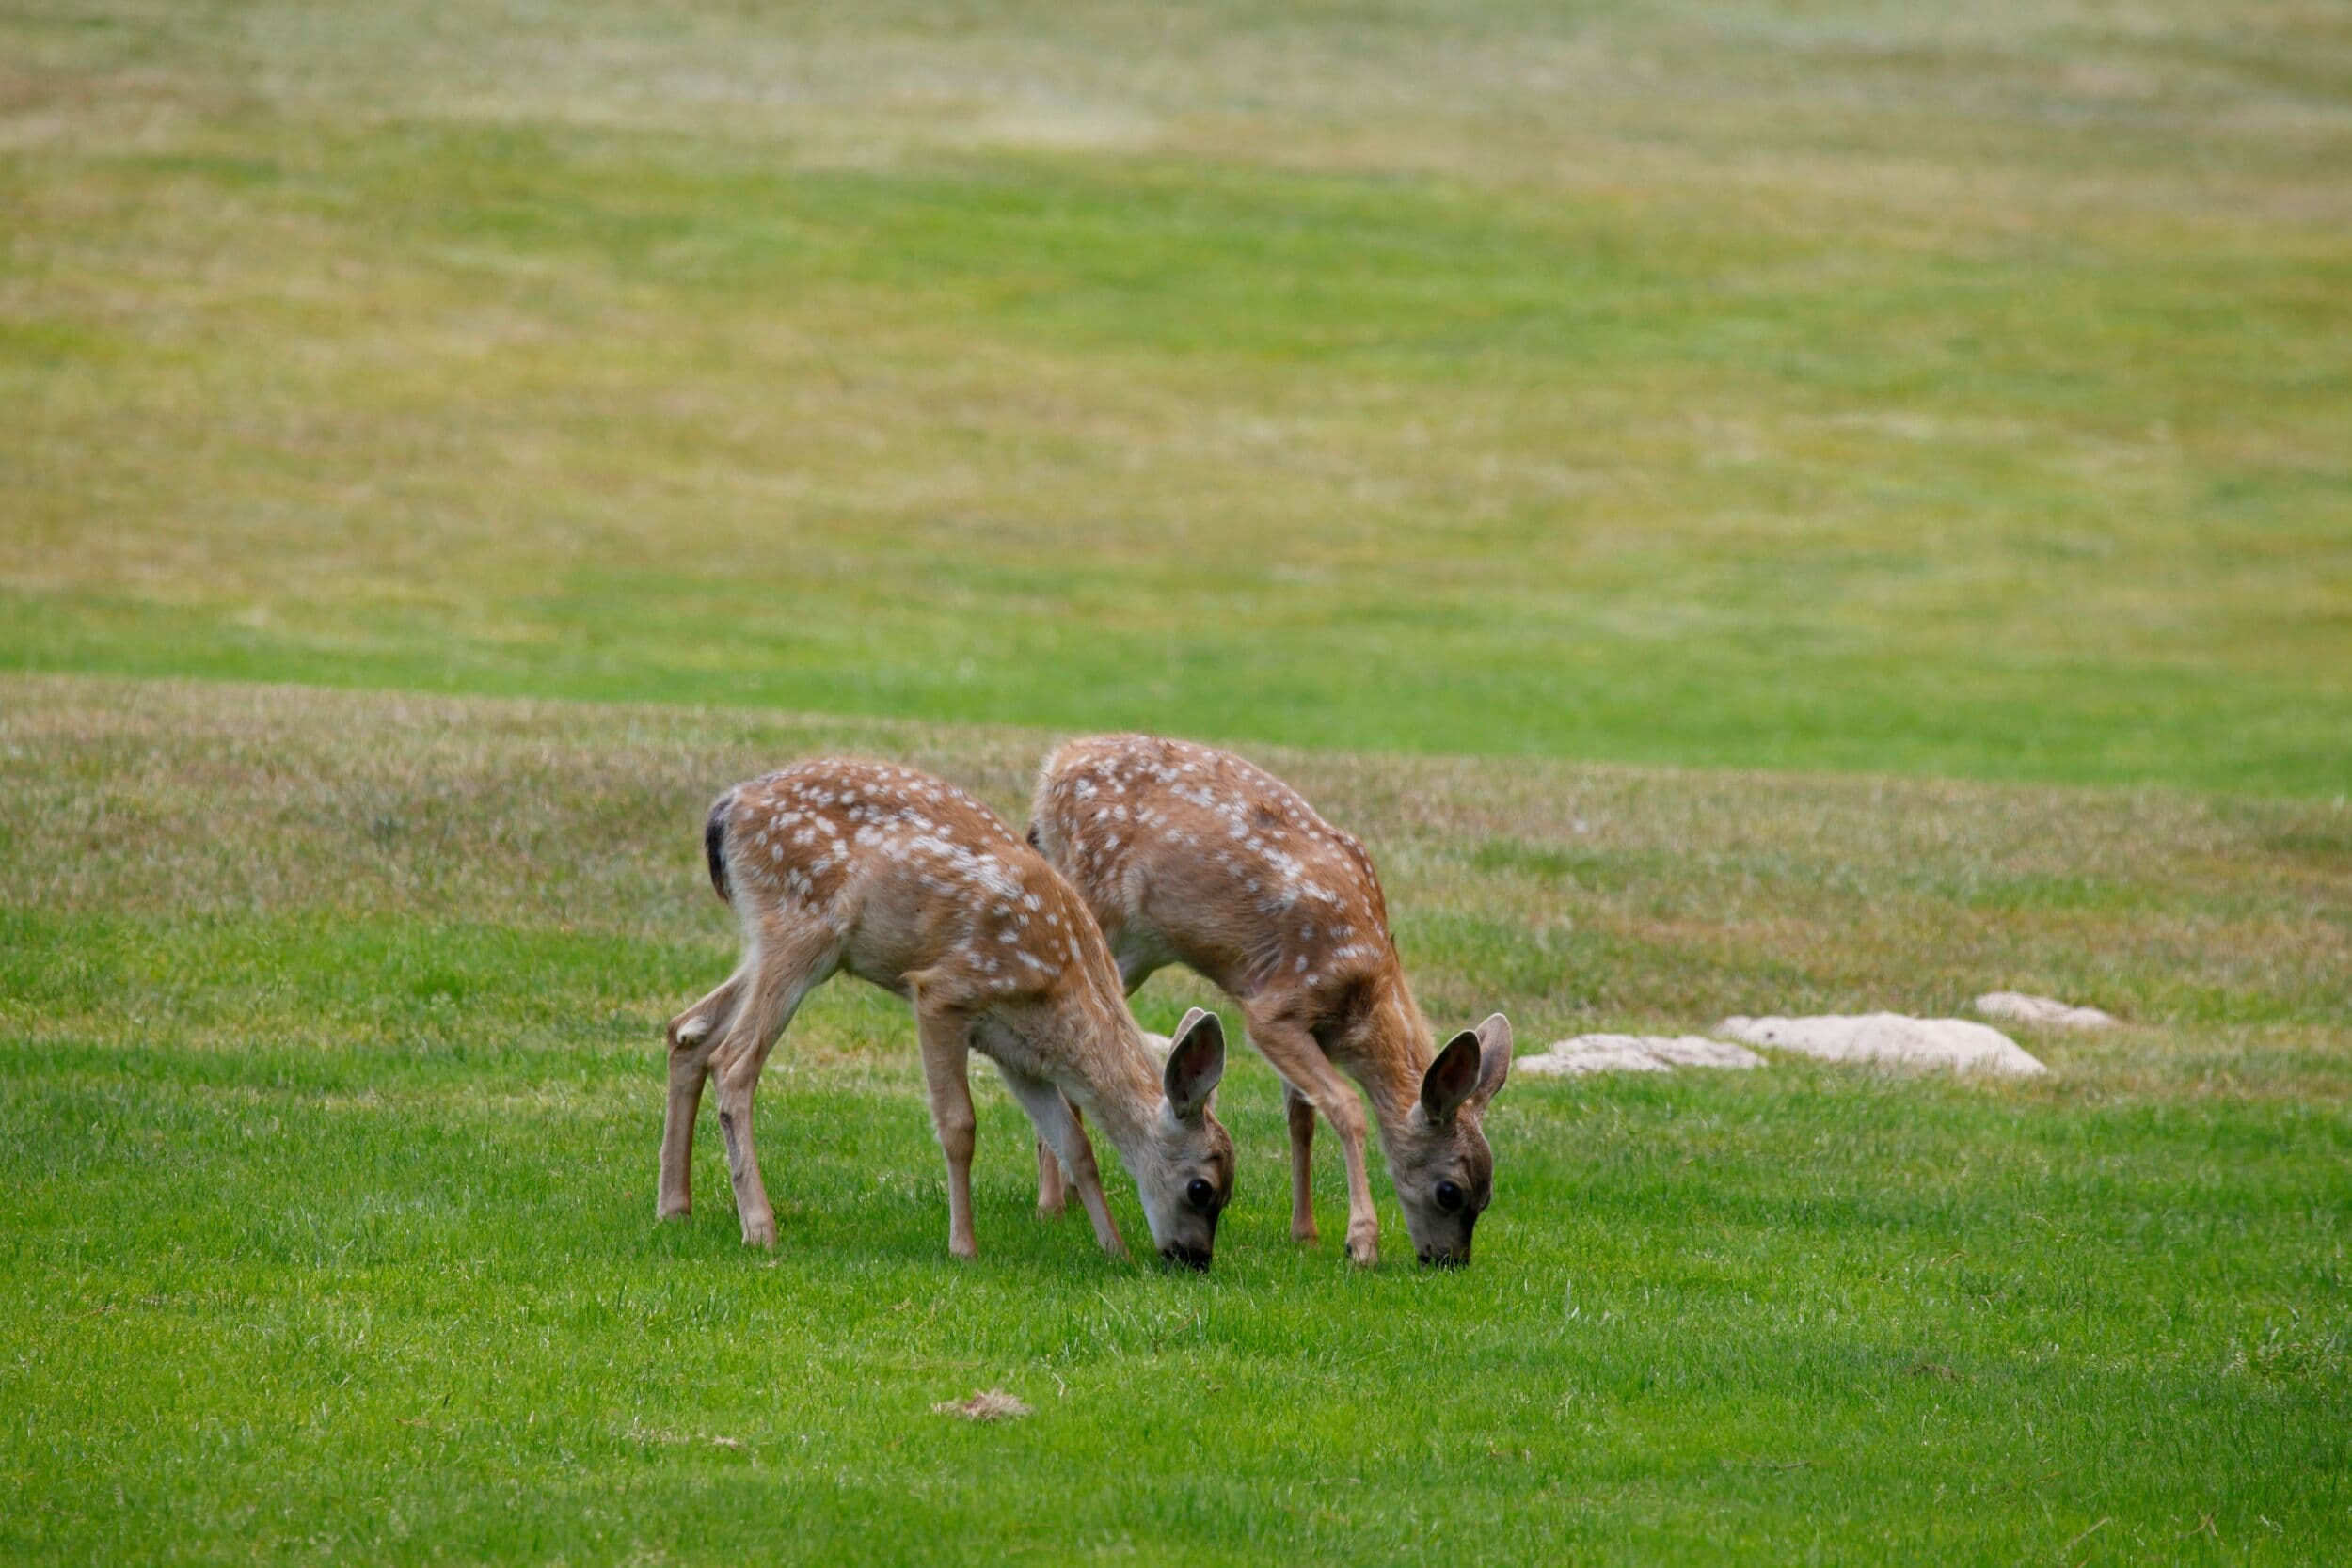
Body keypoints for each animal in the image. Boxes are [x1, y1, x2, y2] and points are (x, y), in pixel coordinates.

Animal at [661, 758, 1235, 1268]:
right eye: (1201, 1188)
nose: (1194, 1260)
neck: (1063, 987)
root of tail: (728, 808)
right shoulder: (944, 994)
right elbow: (960, 1126)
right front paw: (964, 1247)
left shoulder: (1018, 1054)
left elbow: (1076, 1145)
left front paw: (1114, 1249)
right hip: (799, 930)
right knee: (734, 1062)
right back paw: (759, 1228)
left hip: (785, 944)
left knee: (688, 1031)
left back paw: (674, 1207)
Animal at [1027, 735, 1511, 1268]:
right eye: (1450, 1192)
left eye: (1488, 1196)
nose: (1448, 1261)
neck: (1363, 993)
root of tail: (1053, 767)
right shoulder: (1274, 1010)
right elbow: (1345, 1106)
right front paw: (1362, 1242)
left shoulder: (1301, 1025)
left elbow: (1302, 1117)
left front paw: (1306, 1233)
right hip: (1102, 912)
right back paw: (1050, 1201)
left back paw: (1068, 1194)